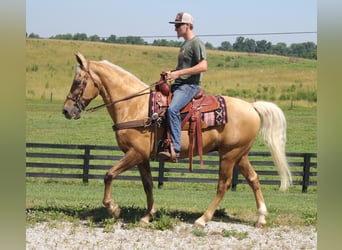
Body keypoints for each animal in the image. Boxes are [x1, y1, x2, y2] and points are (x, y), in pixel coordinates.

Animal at [62, 53, 292, 229]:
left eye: (78, 81)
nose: (66, 110)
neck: (134, 105)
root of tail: (252, 107)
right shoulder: (142, 157)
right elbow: (148, 184)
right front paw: (148, 215)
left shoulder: (135, 153)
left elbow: (109, 175)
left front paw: (113, 208)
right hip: (239, 154)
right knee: (254, 179)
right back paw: (261, 218)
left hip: (229, 155)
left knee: (223, 185)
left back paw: (202, 219)